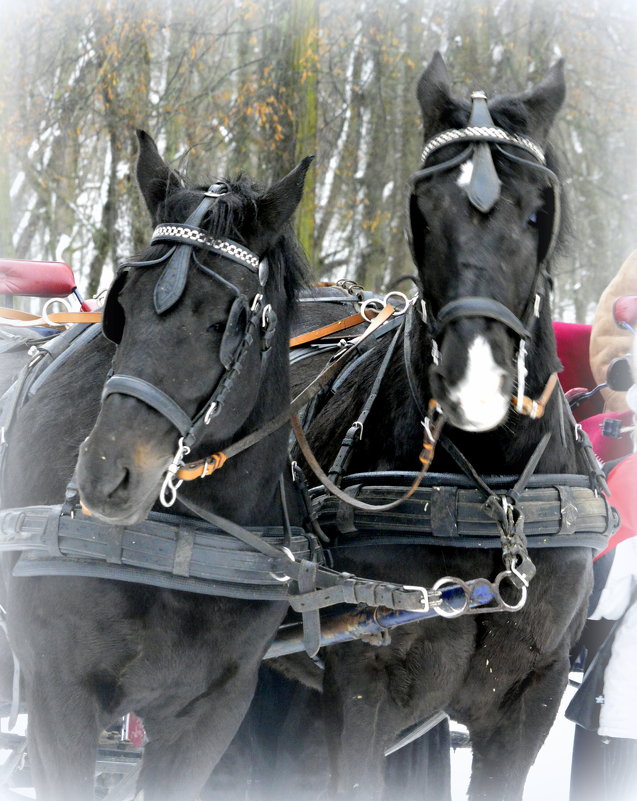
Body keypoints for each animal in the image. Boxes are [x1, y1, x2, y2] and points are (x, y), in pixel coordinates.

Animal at [0, 131, 314, 800]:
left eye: (224, 321)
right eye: (124, 306)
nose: (105, 473)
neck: (180, 542)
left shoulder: (211, 715)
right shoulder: (59, 694)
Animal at [296, 53, 600, 796]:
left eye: (536, 210)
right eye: (424, 210)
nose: (475, 382)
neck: (488, 492)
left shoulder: (532, 692)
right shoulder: (361, 681)